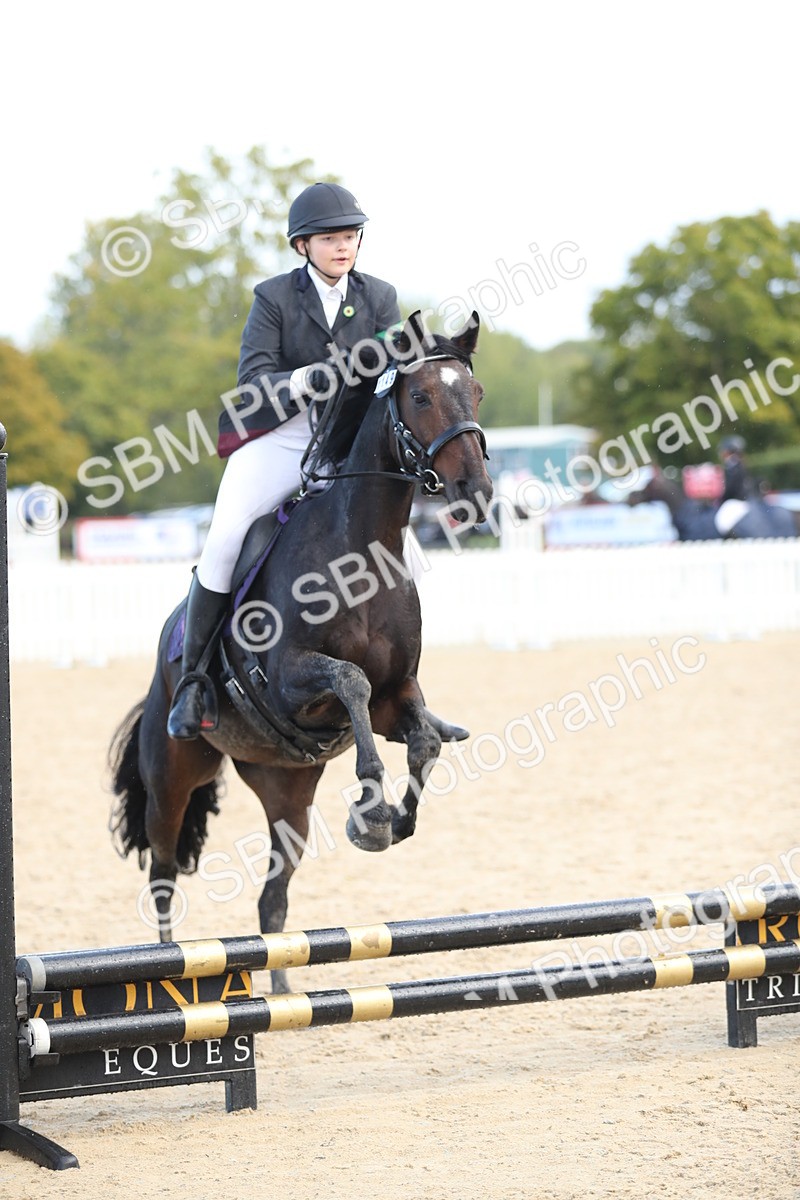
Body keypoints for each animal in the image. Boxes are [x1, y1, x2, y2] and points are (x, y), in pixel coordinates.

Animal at [108, 311, 493, 991]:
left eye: (474, 393)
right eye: (420, 396)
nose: (475, 491)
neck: (361, 551)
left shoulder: (398, 698)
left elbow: (420, 737)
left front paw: (393, 821)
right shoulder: (291, 682)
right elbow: (350, 681)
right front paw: (371, 809)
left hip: (287, 788)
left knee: (273, 896)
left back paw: (285, 994)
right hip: (173, 775)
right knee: (162, 874)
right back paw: (167, 977)